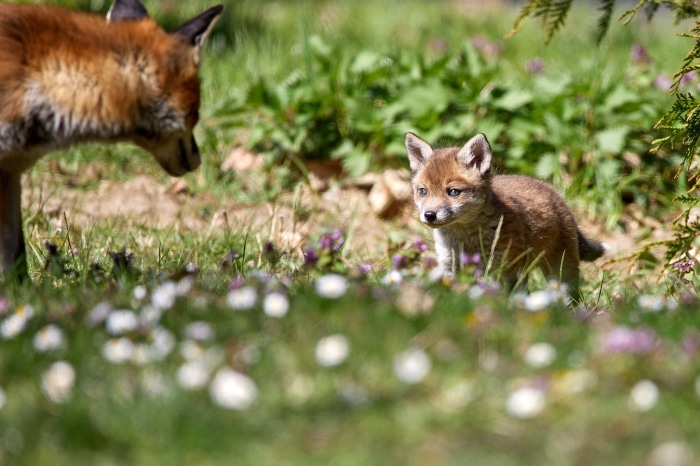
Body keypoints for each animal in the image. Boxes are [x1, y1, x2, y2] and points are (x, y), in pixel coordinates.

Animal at [405, 132, 605, 296]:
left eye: (453, 192)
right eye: (423, 191)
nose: (429, 215)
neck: (466, 239)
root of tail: (553, 191)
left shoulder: (509, 266)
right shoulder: (452, 265)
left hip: (560, 268)